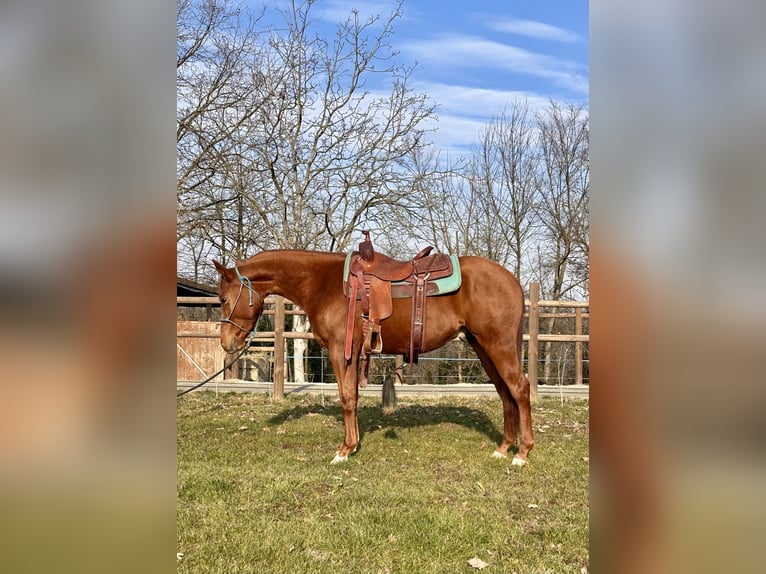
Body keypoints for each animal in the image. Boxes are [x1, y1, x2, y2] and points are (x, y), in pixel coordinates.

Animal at [213, 249, 534, 466]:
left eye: (223, 298)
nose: (226, 342)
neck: (322, 283)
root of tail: (513, 281)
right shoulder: (353, 353)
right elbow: (353, 396)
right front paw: (352, 445)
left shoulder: (340, 349)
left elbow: (346, 397)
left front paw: (344, 450)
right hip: (483, 347)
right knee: (505, 393)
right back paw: (503, 448)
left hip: (498, 345)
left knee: (519, 389)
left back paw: (522, 452)